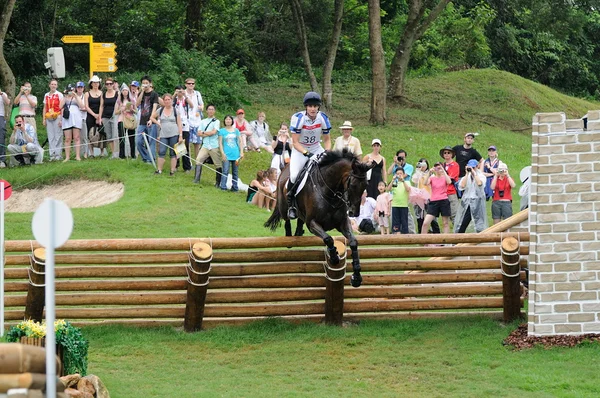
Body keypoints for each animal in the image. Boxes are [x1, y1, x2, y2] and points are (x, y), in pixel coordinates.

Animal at [264, 148, 372, 286]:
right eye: (352, 184)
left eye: (365, 185)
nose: (354, 212)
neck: (330, 191)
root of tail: (284, 169)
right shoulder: (312, 223)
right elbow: (328, 239)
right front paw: (334, 257)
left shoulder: (343, 223)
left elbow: (353, 242)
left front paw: (356, 277)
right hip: (283, 205)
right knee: (287, 218)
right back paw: (289, 236)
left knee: (300, 219)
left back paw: (298, 232)